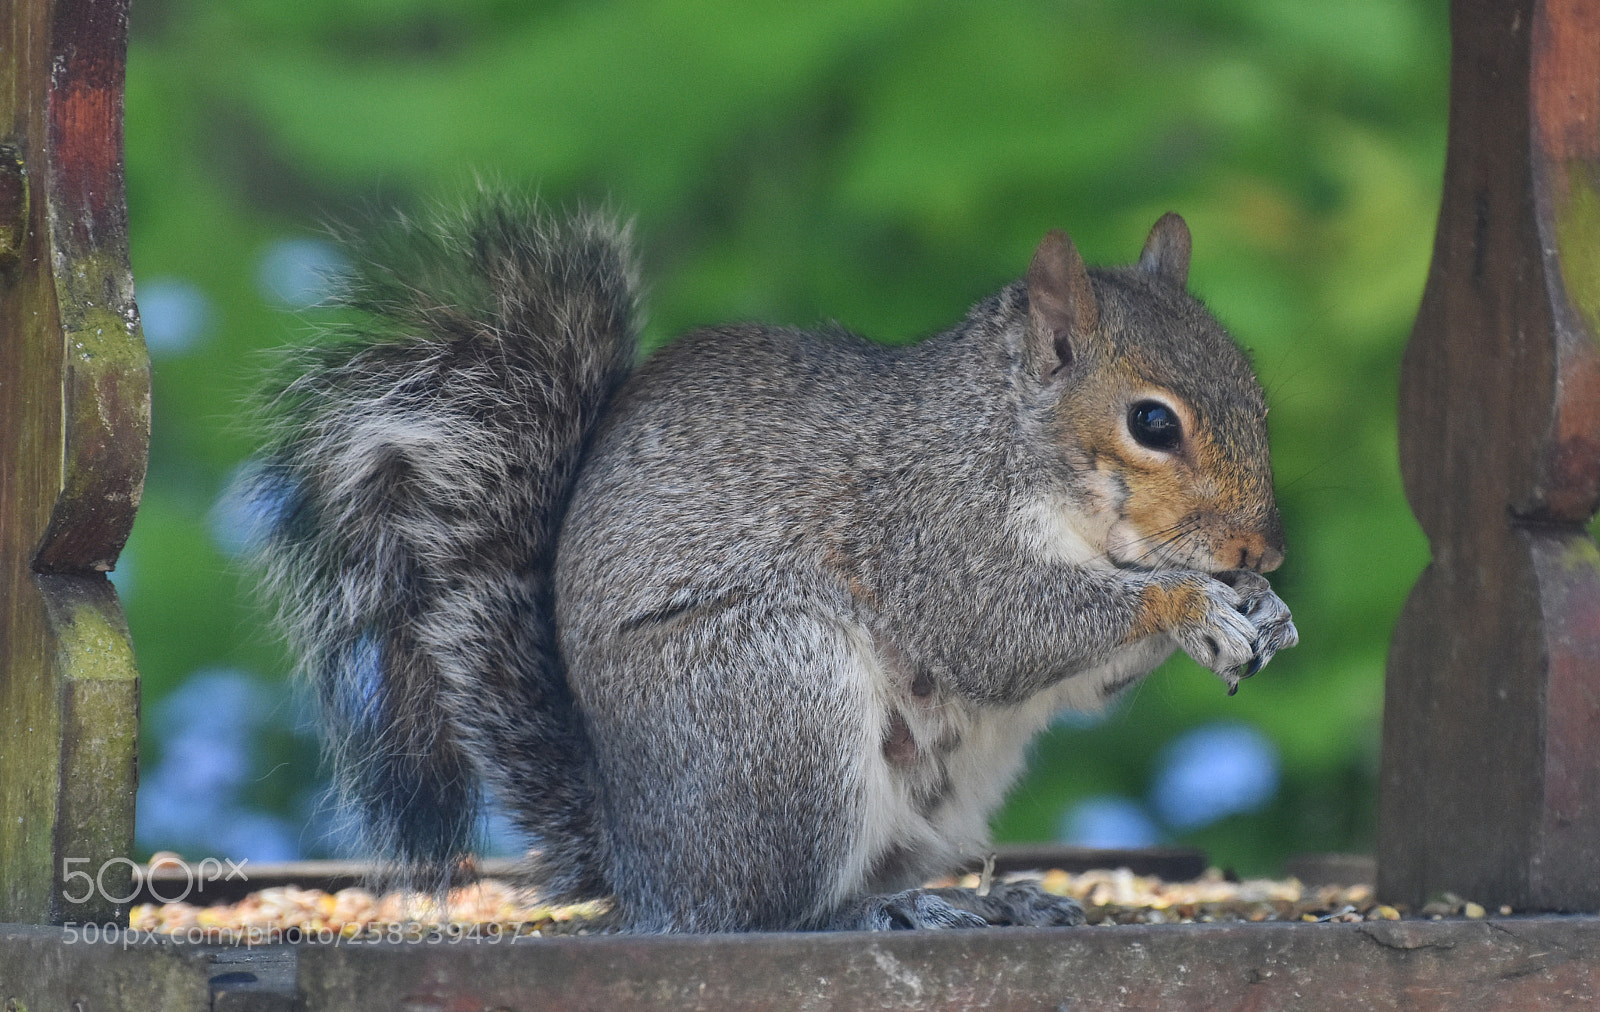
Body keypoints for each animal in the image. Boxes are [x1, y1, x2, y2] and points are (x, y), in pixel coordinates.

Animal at [248, 191, 1296, 933]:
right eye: (1151, 423)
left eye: (1257, 392)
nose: (1265, 548)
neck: (1009, 436)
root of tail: (640, 866)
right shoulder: (932, 528)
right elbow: (1003, 632)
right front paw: (1190, 604)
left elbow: (1081, 684)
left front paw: (1264, 610)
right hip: (772, 699)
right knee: (766, 913)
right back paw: (880, 911)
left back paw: (995, 896)